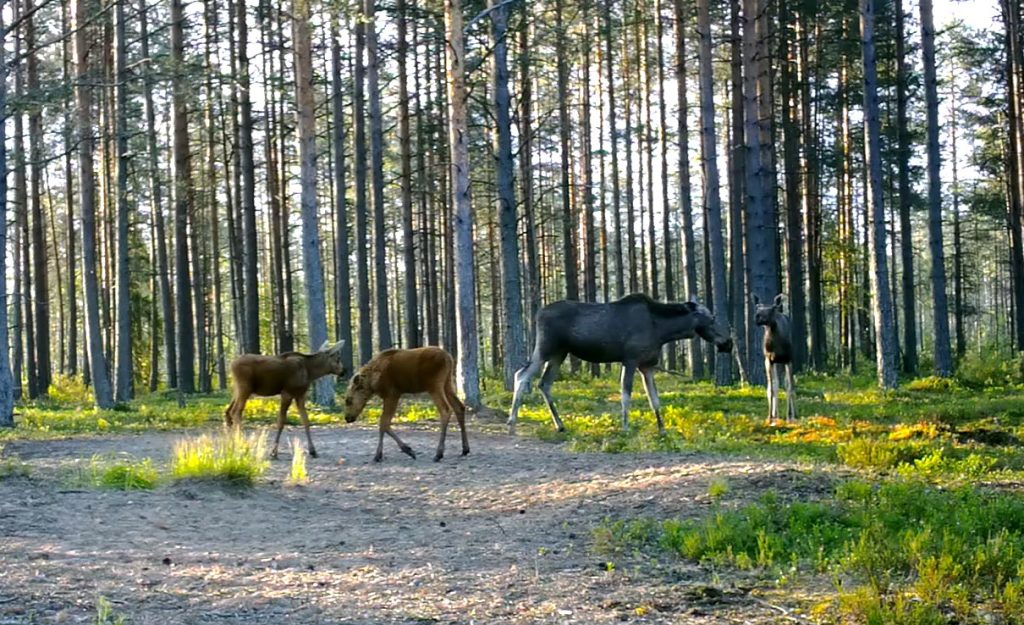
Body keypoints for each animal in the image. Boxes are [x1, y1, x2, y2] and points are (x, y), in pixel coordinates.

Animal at [505, 293, 733, 432]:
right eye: (712, 318)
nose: (728, 343)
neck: (663, 331)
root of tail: (537, 314)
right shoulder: (630, 360)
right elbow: (626, 395)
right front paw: (625, 427)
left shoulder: (647, 365)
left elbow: (655, 399)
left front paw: (662, 429)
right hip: (546, 348)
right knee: (521, 375)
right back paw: (512, 421)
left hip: (559, 354)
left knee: (543, 383)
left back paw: (560, 425)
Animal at [757, 293, 794, 424]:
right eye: (757, 307)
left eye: (772, 309)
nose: (758, 316)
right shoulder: (769, 360)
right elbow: (771, 388)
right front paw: (770, 416)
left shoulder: (788, 359)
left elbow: (789, 387)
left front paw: (790, 416)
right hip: (774, 362)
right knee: (775, 384)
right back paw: (775, 414)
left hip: (782, 362)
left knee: (786, 384)